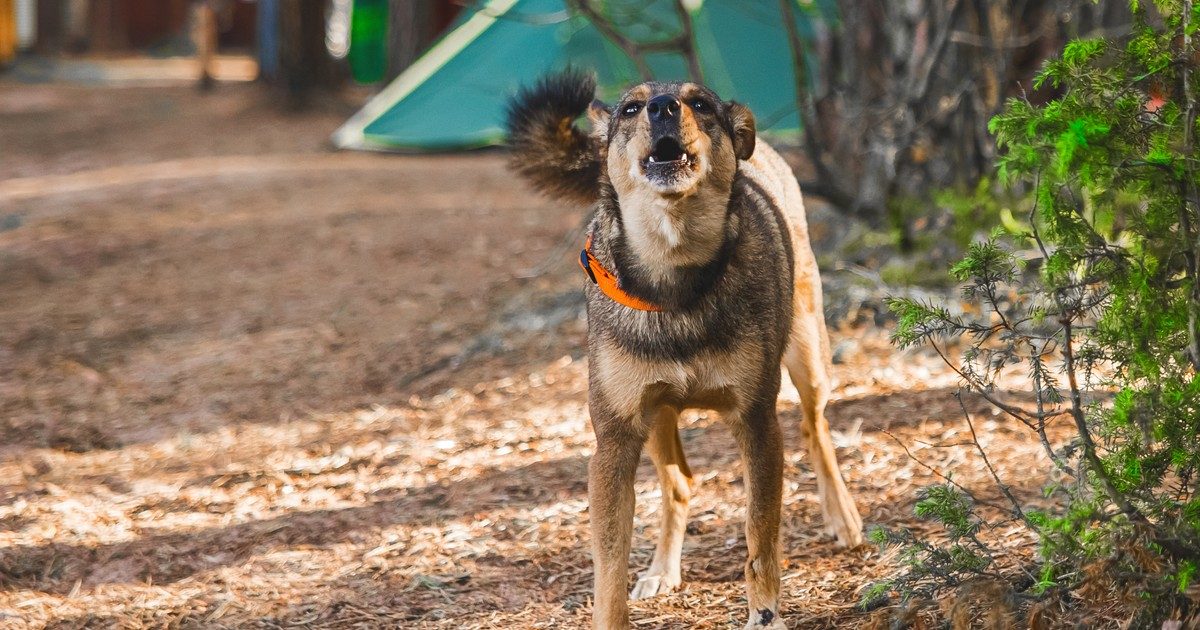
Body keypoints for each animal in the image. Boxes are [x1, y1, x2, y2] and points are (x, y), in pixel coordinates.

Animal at [506, 71, 864, 624]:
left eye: (700, 104)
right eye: (630, 110)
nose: (663, 108)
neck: (674, 278)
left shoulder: (756, 423)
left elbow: (760, 540)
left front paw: (765, 615)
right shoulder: (615, 441)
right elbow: (609, 567)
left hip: (808, 357)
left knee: (814, 427)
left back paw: (842, 516)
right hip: (658, 417)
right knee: (680, 484)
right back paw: (661, 571)